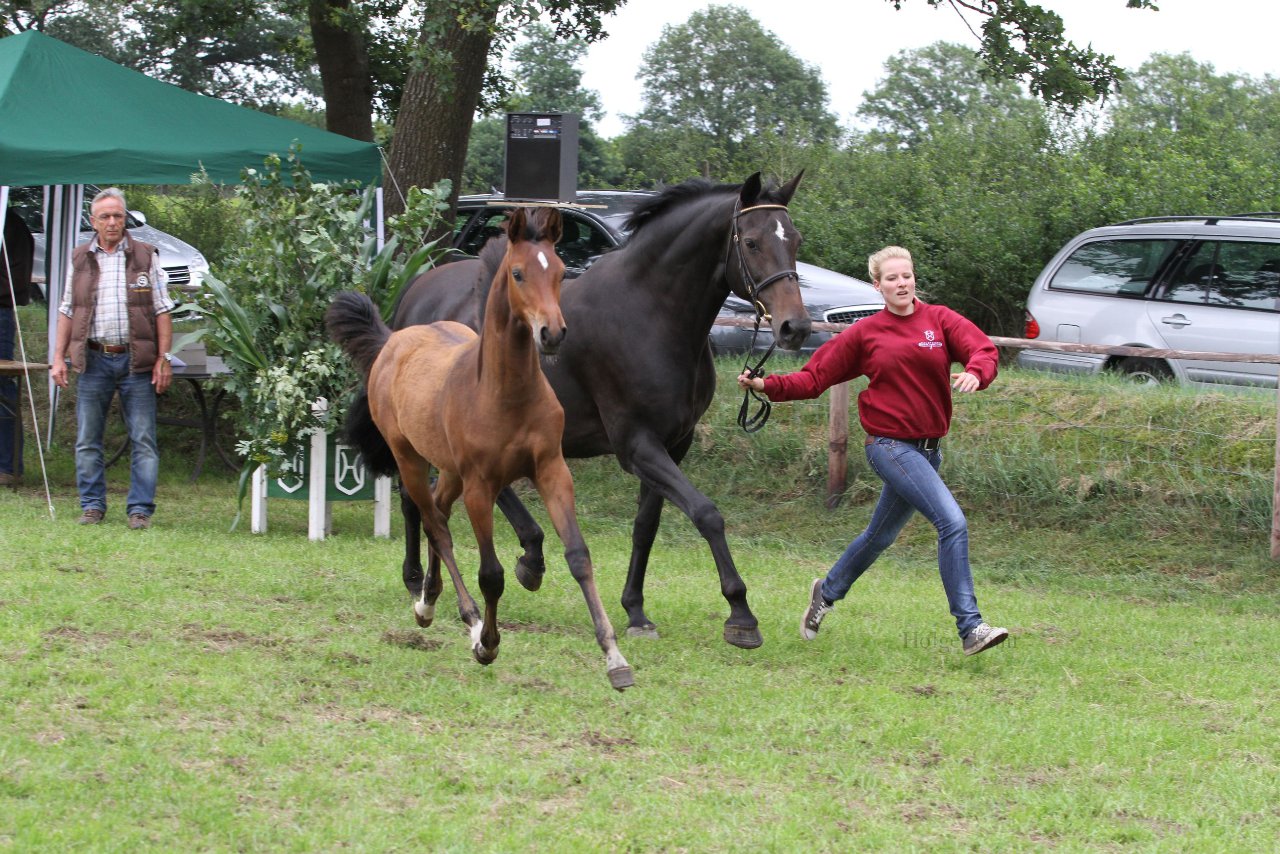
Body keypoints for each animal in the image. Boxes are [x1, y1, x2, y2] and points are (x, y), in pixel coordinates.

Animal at [327, 208, 632, 696]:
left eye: (561, 271)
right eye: (518, 273)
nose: (552, 333)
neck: (503, 393)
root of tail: (393, 340)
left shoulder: (551, 470)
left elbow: (579, 557)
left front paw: (615, 658)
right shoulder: (481, 486)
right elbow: (491, 574)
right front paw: (487, 643)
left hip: (449, 470)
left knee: (436, 510)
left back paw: (430, 597)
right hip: (410, 458)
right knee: (434, 523)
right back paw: (450, 614)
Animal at [358, 171, 808, 647]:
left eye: (794, 239)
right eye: (753, 242)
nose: (794, 326)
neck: (649, 312)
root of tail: (416, 295)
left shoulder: (673, 443)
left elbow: (646, 526)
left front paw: (636, 611)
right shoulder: (637, 446)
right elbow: (706, 513)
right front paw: (741, 614)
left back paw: (522, 557)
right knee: (418, 497)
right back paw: (425, 578)